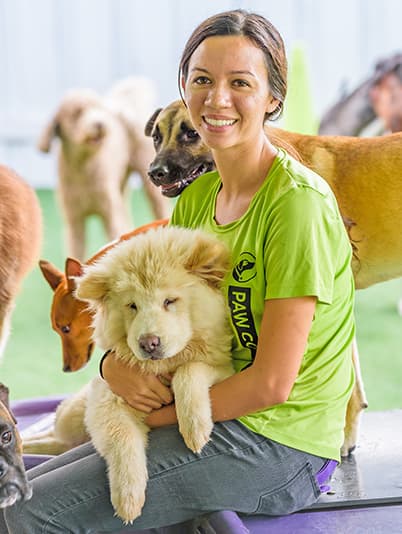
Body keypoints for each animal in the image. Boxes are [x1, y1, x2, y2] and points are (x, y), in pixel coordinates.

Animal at [23, 228, 234, 524]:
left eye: (170, 301)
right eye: (132, 306)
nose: (149, 343)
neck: (162, 367)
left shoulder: (224, 365)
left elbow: (190, 369)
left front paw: (195, 428)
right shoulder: (107, 400)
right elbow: (122, 438)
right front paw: (128, 499)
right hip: (73, 418)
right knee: (52, 438)